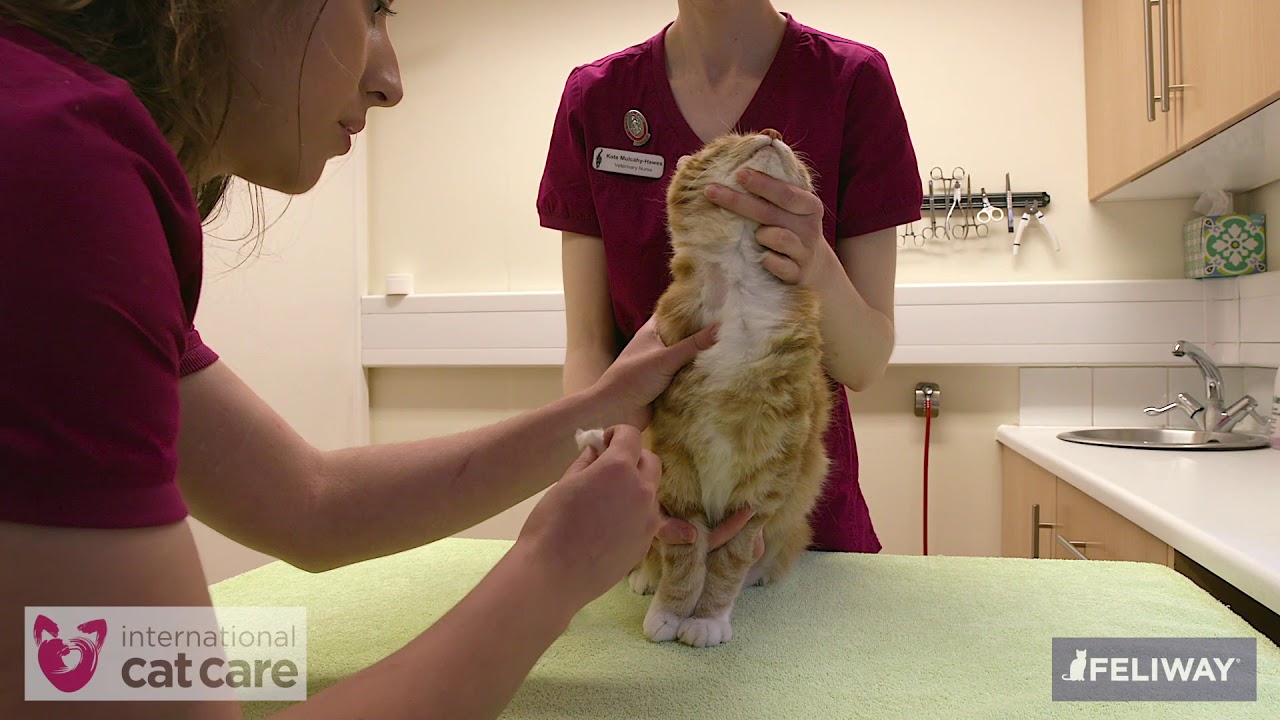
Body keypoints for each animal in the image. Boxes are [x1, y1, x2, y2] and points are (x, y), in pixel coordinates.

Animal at [578, 130, 829, 650]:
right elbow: (685, 550)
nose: (772, 134)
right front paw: (671, 610)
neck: (740, 293)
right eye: (733, 138)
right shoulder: (674, 459)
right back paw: (644, 576)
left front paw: (709, 616)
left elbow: (729, 560)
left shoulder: (767, 477)